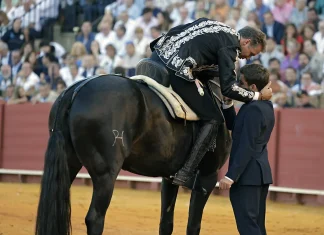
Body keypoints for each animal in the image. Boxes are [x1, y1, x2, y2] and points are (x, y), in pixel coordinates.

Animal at [35, 62, 232, 235]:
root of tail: (75, 91)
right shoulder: (207, 177)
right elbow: (193, 225)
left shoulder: (169, 177)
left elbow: (166, 222)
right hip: (105, 174)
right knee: (95, 218)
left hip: (68, 164)